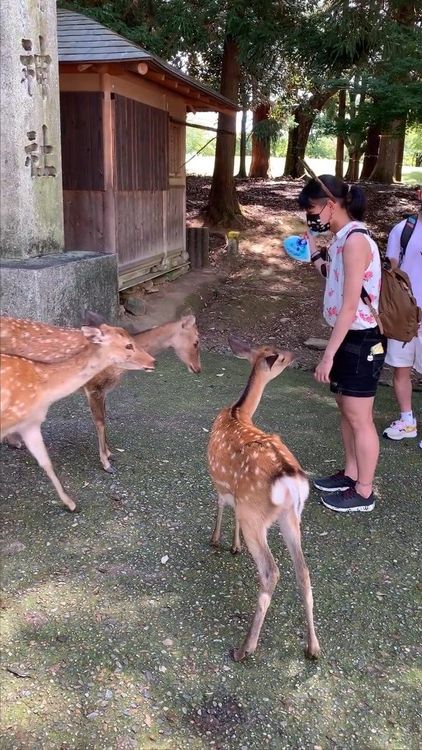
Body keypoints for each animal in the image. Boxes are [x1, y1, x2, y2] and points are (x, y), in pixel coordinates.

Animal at [0, 317, 156, 512]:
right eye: (129, 345)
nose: (153, 361)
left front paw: (109, 453)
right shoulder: (94, 388)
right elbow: (100, 420)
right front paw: (106, 463)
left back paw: (14, 441)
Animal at [207, 335, 320, 662]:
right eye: (279, 355)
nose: (296, 356)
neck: (238, 412)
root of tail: (290, 479)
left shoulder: (221, 482)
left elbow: (221, 503)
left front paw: (218, 540)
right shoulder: (235, 494)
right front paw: (232, 545)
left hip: (256, 516)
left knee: (271, 572)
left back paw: (245, 648)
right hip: (291, 517)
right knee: (303, 571)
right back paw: (313, 647)